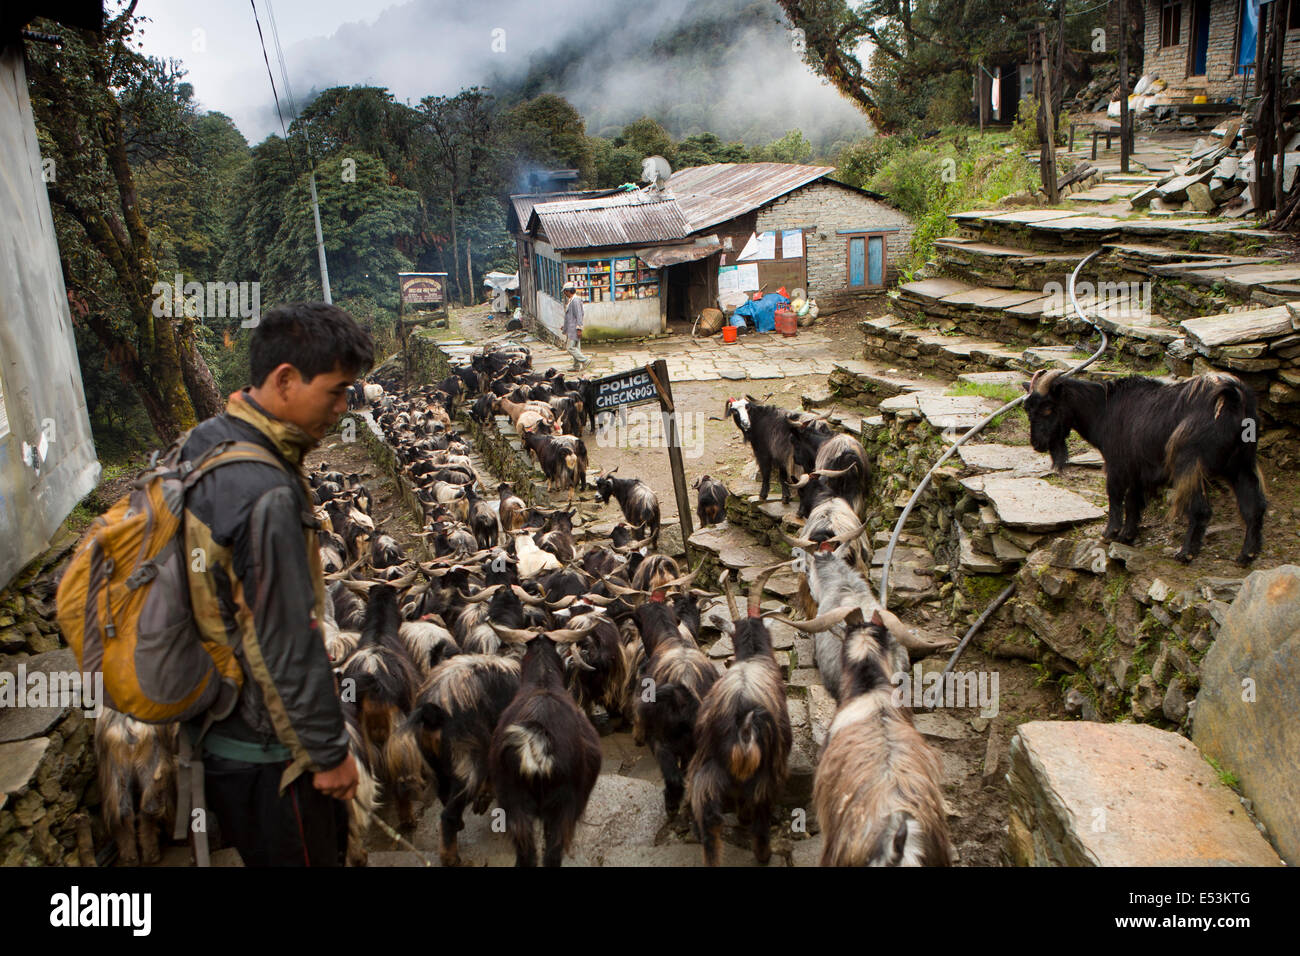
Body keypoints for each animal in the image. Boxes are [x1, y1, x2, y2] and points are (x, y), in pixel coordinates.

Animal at [1019, 369, 1263, 564]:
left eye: (1048, 408)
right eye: (1028, 410)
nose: (1037, 444)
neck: (1103, 408)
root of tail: (1232, 398)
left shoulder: (1117, 463)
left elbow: (1115, 495)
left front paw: (1109, 533)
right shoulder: (1137, 468)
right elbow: (1133, 500)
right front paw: (1128, 535)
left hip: (1190, 464)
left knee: (1201, 509)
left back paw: (1186, 553)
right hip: (1241, 465)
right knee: (1253, 505)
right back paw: (1246, 555)